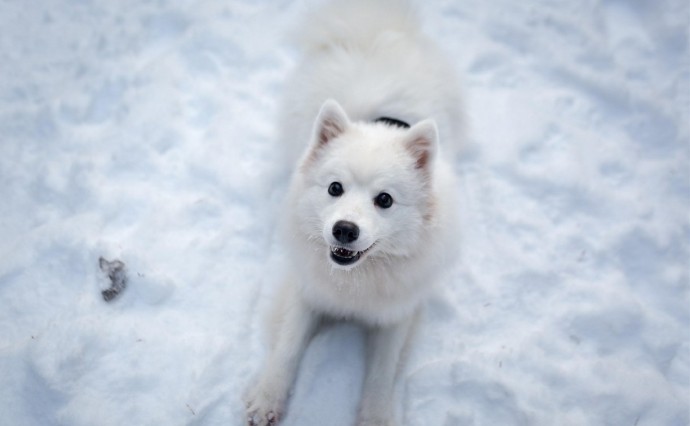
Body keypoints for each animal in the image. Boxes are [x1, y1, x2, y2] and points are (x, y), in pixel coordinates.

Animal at [245, 1, 460, 424]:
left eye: (385, 200)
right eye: (334, 188)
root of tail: (373, 29)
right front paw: (266, 398)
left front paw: (375, 417)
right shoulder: (306, 291)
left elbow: (381, 374)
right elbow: (287, 347)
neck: (356, 281)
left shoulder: (396, 315)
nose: (344, 229)